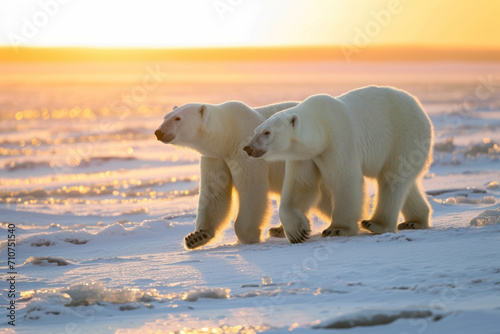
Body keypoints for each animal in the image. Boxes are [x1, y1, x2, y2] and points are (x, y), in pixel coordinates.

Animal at [152, 100, 332, 249]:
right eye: (165, 117)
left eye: (178, 118)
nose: (158, 132)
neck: (228, 133)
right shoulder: (216, 157)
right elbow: (214, 191)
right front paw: (196, 236)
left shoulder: (244, 148)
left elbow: (251, 187)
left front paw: (248, 235)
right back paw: (278, 230)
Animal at [244, 85, 432, 243]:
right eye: (255, 131)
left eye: (267, 133)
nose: (248, 148)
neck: (322, 126)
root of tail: (419, 107)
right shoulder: (306, 155)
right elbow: (301, 185)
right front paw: (297, 232)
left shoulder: (339, 140)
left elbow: (345, 180)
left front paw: (336, 229)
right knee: (403, 182)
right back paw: (413, 222)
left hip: (405, 137)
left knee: (393, 178)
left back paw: (376, 223)